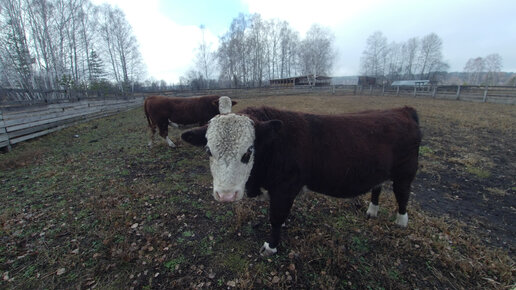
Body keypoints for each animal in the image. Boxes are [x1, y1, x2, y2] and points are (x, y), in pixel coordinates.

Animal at [179, 105, 422, 255]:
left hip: (405, 172)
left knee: (402, 194)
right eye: (208, 150)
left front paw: (271, 247)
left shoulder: (285, 188)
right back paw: (372, 211)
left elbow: (276, 218)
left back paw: (401, 222)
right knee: (377, 187)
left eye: (248, 152)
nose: (226, 195)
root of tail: (402, 110)